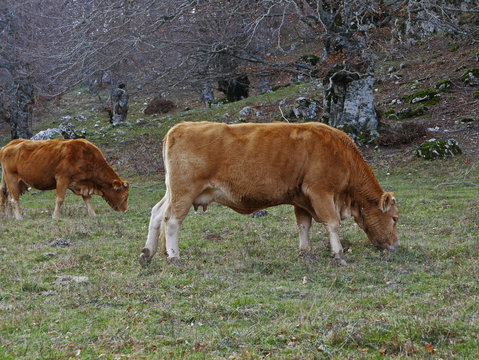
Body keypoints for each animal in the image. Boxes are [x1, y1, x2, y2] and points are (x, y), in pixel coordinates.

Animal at [0, 139, 129, 219]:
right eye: (125, 196)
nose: (125, 210)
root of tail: (9, 144)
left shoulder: (83, 184)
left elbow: (87, 199)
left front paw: (93, 214)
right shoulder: (62, 178)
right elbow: (60, 199)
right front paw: (55, 216)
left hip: (13, 181)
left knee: (7, 196)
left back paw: (9, 216)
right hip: (11, 177)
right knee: (14, 199)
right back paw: (19, 217)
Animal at [140, 122, 402, 266]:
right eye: (395, 218)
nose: (396, 245)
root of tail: (180, 126)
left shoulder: (301, 198)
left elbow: (304, 225)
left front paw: (305, 253)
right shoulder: (320, 191)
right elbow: (332, 223)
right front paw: (338, 255)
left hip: (173, 191)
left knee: (156, 213)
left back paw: (147, 254)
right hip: (184, 191)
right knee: (171, 221)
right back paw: (174, 257)